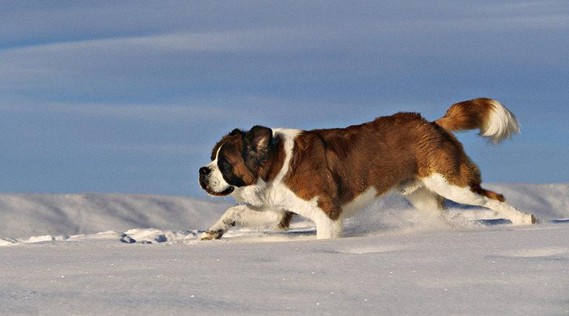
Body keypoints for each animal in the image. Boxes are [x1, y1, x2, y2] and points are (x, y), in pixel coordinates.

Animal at [197, 99, 536, 239]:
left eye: (223, 163)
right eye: (212, 158)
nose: (202, 171)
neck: (276, 162)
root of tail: (431, 123)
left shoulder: (327, 212)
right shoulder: (279, 211)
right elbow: (235, 211)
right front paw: (215, 231)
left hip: (452, 182)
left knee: (493, 198)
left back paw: (526, 220)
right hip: (423, 195)